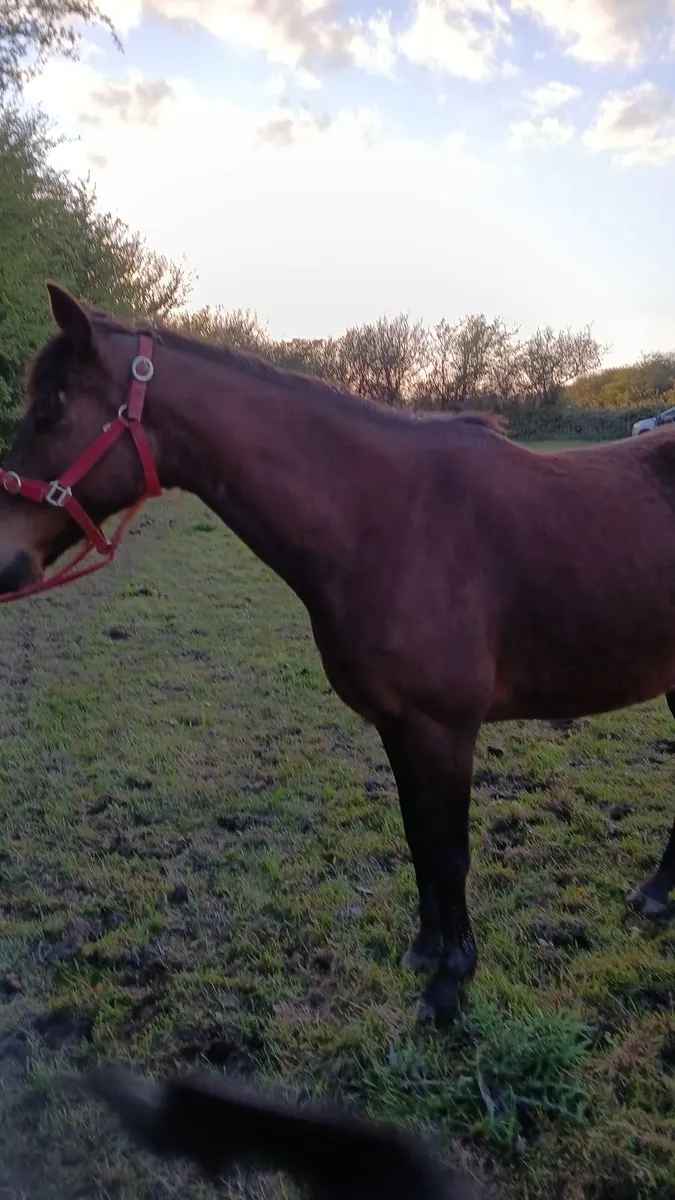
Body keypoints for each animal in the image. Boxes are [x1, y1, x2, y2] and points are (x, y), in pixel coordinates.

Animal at [1, 280, 674, 1024]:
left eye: (51, 410)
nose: (5, 557)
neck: (385, 520)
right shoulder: (399, 726)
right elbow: (418, 841)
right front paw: (425, 952)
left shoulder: (444, 728)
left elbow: (449, 853)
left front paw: (450, 983)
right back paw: (656, 894)